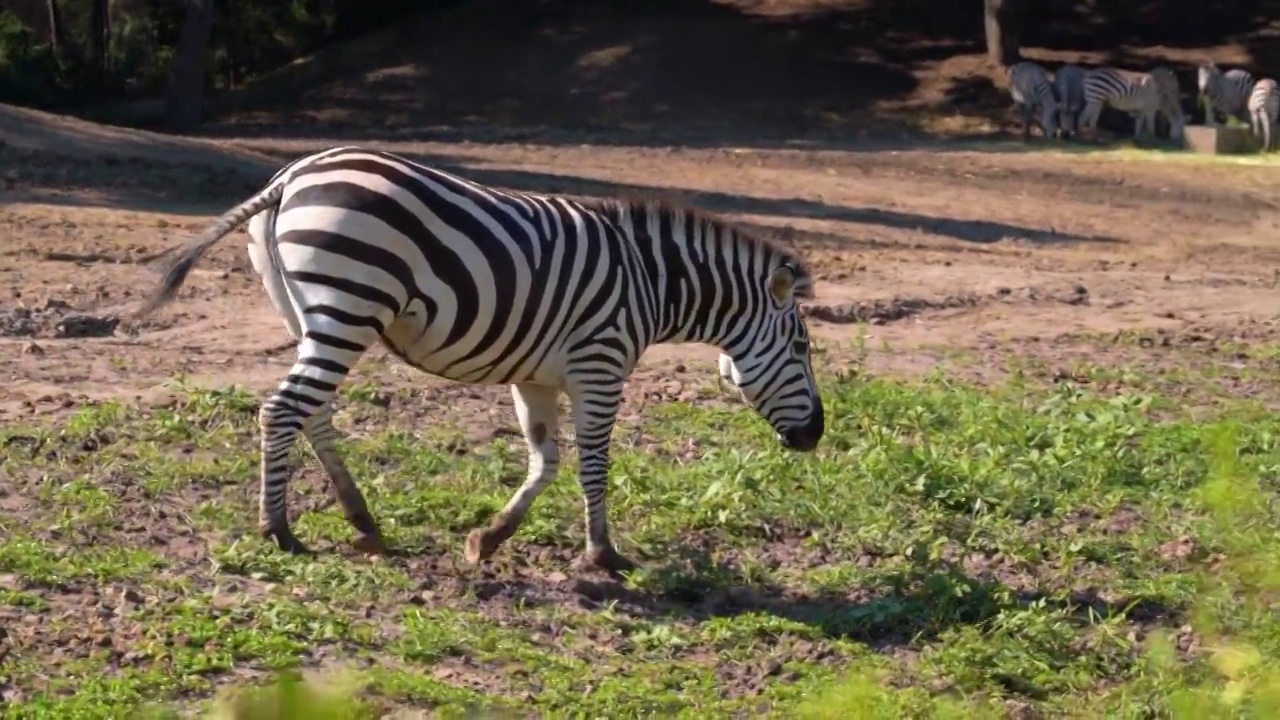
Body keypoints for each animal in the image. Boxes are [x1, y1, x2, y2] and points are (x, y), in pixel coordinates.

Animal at [135, 144, 824, 571]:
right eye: (802, 347)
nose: (816, 436)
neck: (654, 282)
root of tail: (289, 177)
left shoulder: (538, 376)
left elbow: (545, 460)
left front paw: (488, 539)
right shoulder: (599, 367)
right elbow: (593, 464)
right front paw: (603, 555)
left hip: (308, 314)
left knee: (314, 412)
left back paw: (362, 521)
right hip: (349, 305)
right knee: (282, 411)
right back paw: (278, 530)